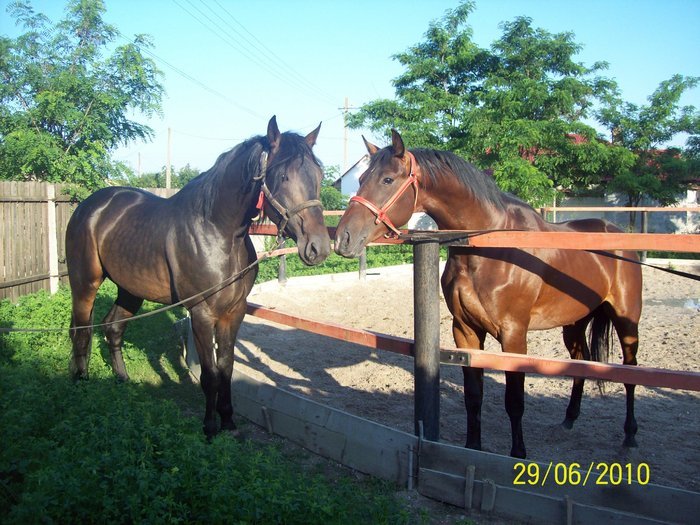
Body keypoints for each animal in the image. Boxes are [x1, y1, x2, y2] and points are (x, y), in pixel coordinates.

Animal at [67, 115, 330, 438]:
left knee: (113, 328)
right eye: (282, 176)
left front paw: (228, 421)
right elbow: (210, 374)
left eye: (318, 174)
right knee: (82, 331)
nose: (318, 247)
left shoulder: (234, 312)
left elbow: (227, 368)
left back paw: (122, 380)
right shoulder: (202, 313)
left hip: (131, 290)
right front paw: (210, 427)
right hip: (85, 283)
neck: (217, 232)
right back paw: (81, 383)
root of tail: (89, 206)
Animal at [336, 129, 644, 456]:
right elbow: (473, 396)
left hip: (626, 320)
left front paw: (518, 454)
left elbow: (515, 401)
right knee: (580, 362)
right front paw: (472, 446)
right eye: (361, 178)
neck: (488, 246)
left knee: (631, 371)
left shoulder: (513, 335)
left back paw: (630, 434)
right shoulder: (466, 330)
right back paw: (569, 420)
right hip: (573, 323)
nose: (343, 239)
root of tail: (616, 232)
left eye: (387, 180)